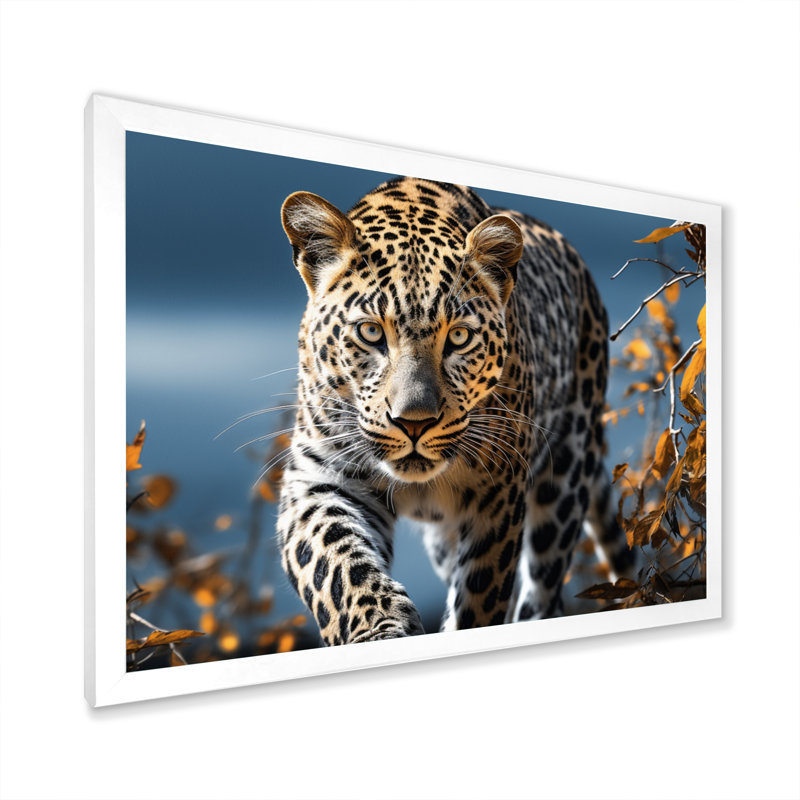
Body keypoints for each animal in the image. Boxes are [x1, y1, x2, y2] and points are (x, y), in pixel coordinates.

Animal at [274, 176, 634, 645]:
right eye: (370, 332)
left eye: (459, 338)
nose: (414, 423)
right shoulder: (320, 477)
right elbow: (333, 563)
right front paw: (380, 628)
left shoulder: (498, 494)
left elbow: (479, 595)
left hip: (565, 474)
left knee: (543, 590)